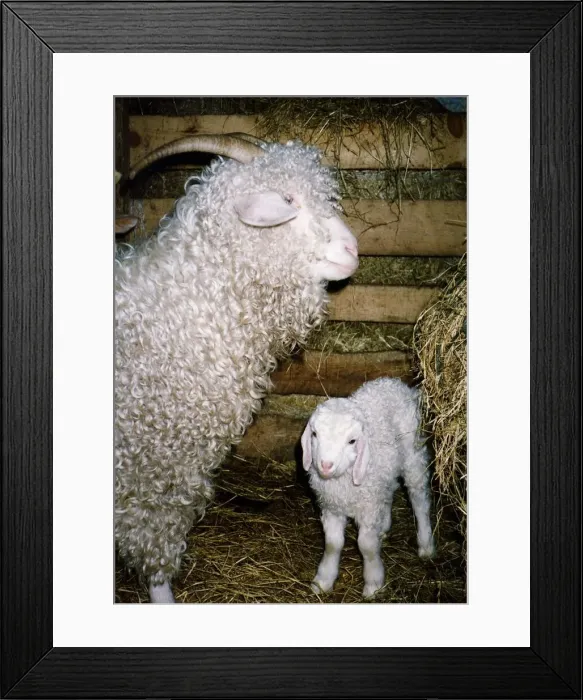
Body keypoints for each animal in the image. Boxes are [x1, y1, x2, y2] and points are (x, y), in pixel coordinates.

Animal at [301, 377, 436, 599]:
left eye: (352, 441)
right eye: (314, 434)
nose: (326, 465)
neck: (342, 483)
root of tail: (396, 384)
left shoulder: (368, 509)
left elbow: (366, 545)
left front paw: (373, 584)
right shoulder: (332, 507)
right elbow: (332, 544)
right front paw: (323, 581)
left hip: (413, 454)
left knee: (419, 500)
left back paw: (426, 545)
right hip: (383, 476)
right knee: (389, 490)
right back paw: (384, 527)